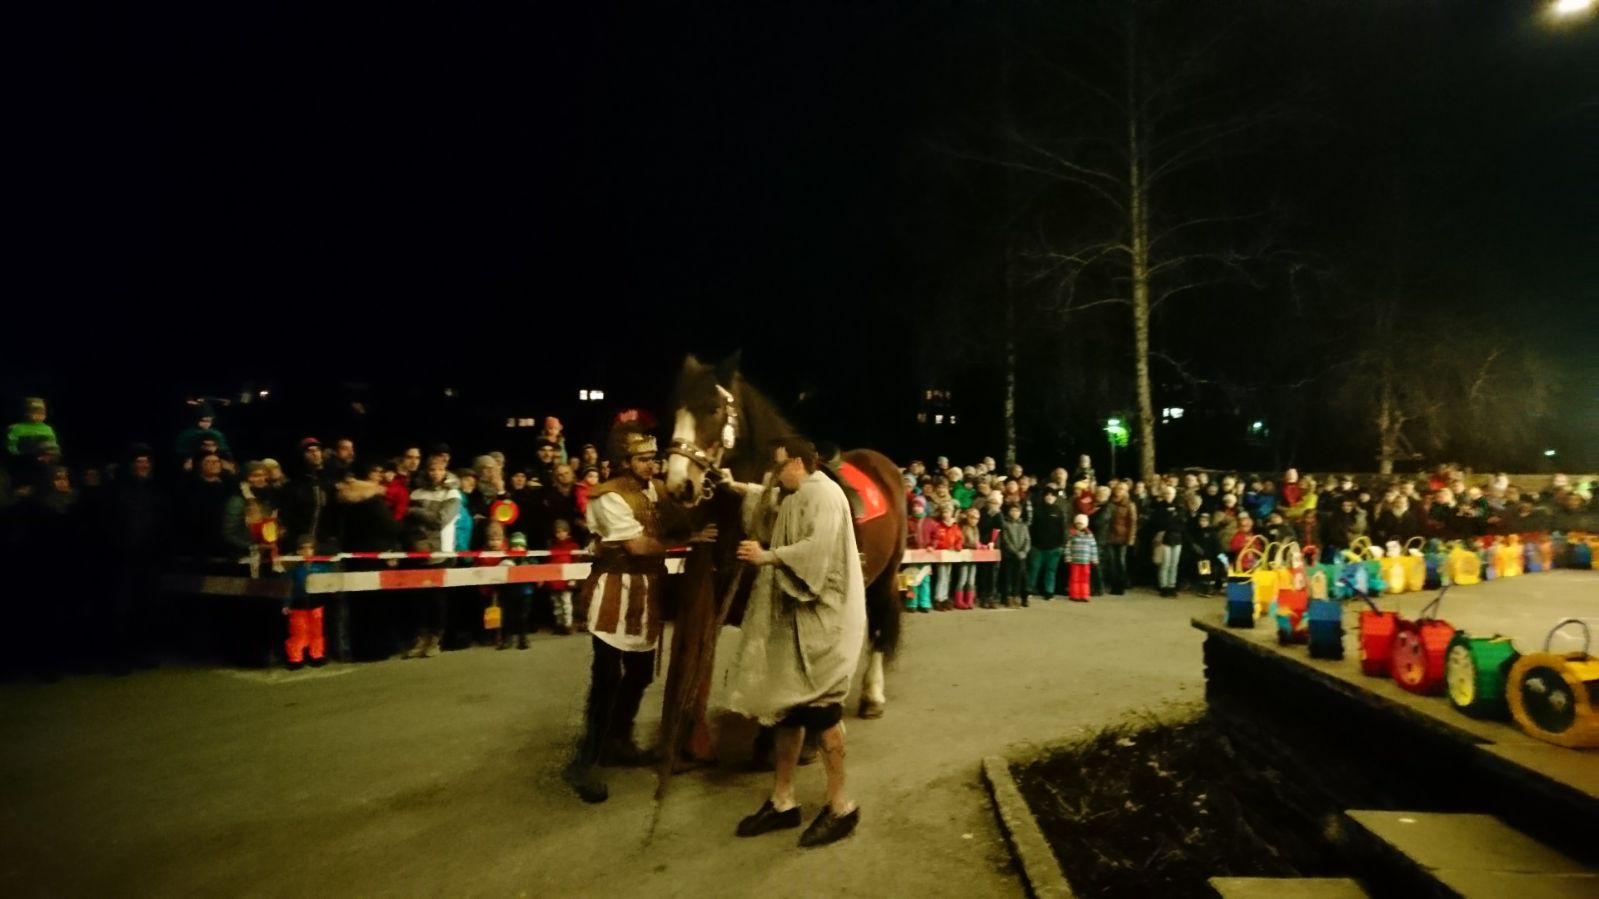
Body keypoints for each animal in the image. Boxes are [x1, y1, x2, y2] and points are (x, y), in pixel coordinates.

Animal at [663, 353, 906, 722]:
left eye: (714, 409)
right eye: (677, 411)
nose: (679, 485)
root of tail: (884, 465)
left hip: (887, 575)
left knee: (878, 625)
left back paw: (872, 695)